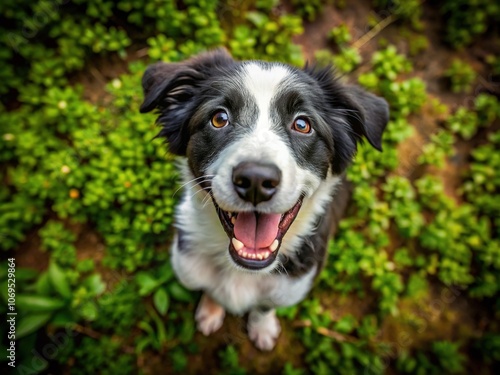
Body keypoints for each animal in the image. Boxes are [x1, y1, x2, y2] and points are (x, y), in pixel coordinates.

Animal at [141, 48, 390, 352]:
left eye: (302, 124)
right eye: (219, 118)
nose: (256, 181)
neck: (243, 270)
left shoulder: (289, 287)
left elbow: (264, 306)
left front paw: (262, 328)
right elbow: (212, 289)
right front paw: (211, 310)